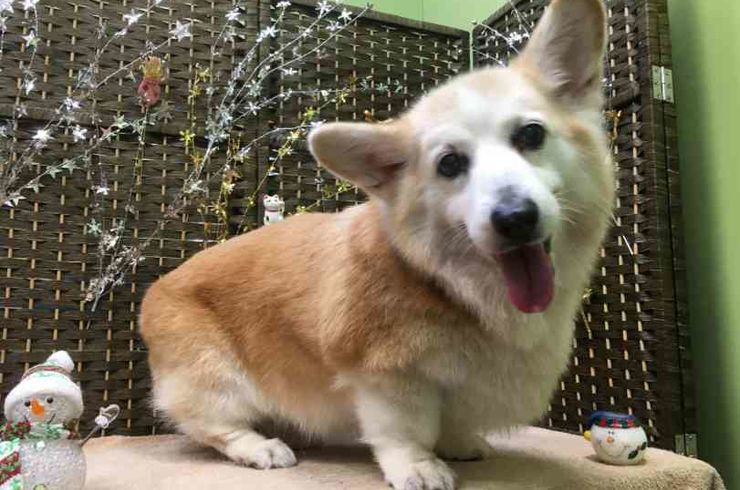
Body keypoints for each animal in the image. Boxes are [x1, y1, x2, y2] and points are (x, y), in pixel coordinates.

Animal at [139, 1, 613, 488]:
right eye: (449, 164)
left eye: (531, 135)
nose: (515, 218)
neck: (454, 288)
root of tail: (156, 289)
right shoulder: (387, 375)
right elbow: (405, 429)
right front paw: (419, 467)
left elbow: (452, 422)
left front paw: (459, 444)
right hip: (216, 380)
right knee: (214, 426)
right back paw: (262, 447)